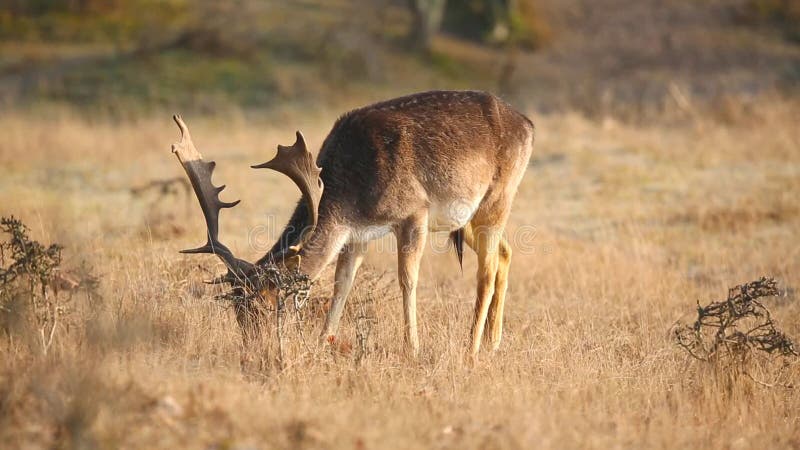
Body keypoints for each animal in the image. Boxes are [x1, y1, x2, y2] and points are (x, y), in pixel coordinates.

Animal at [174, 89, 536, 356]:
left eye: (266, 303)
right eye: (237, 310)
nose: (254, 351)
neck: (349, 192)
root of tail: (529, 125)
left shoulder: (414, 211)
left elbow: (408, 280)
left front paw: (412, 349)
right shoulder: (357, 233)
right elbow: (342, 283)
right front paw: (322, 342)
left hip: (497, 197)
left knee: (486, 269)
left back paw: (471, 349)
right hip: (467, 218)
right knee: (504, 253)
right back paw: (492, 342)